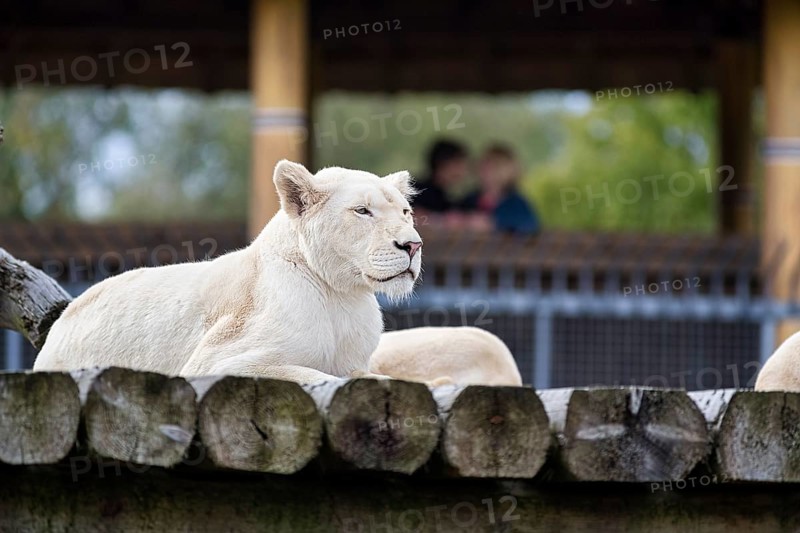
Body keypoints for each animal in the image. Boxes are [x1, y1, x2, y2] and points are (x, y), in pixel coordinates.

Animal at [34, 160, 422, 384]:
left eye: (405, 212)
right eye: (362, 211)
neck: (340, 297)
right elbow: (313, 374)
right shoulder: (212, 363)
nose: (413, 245)